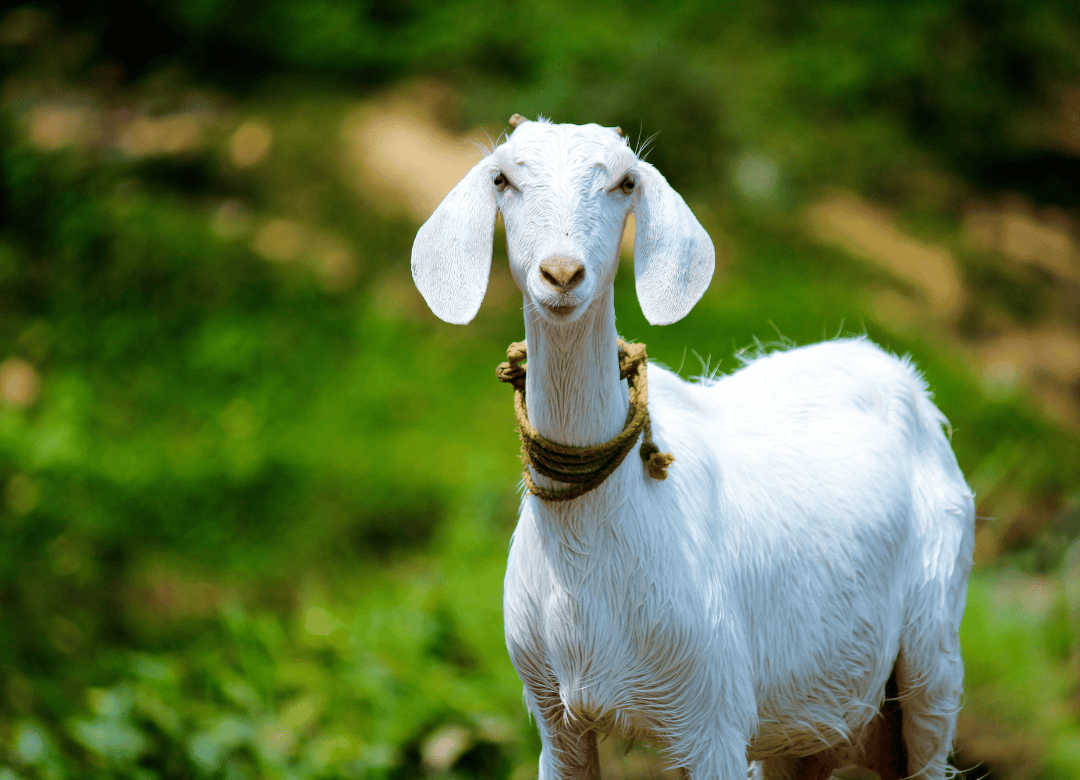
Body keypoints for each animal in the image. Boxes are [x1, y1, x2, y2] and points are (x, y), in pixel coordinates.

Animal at [411, 116, 975, 780]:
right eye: (502, 177)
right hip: (810, 721)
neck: (592, 544)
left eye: (625, 181)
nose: (562, 274)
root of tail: (896, 370)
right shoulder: (554, 716)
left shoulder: (713, 715)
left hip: (932, 655)